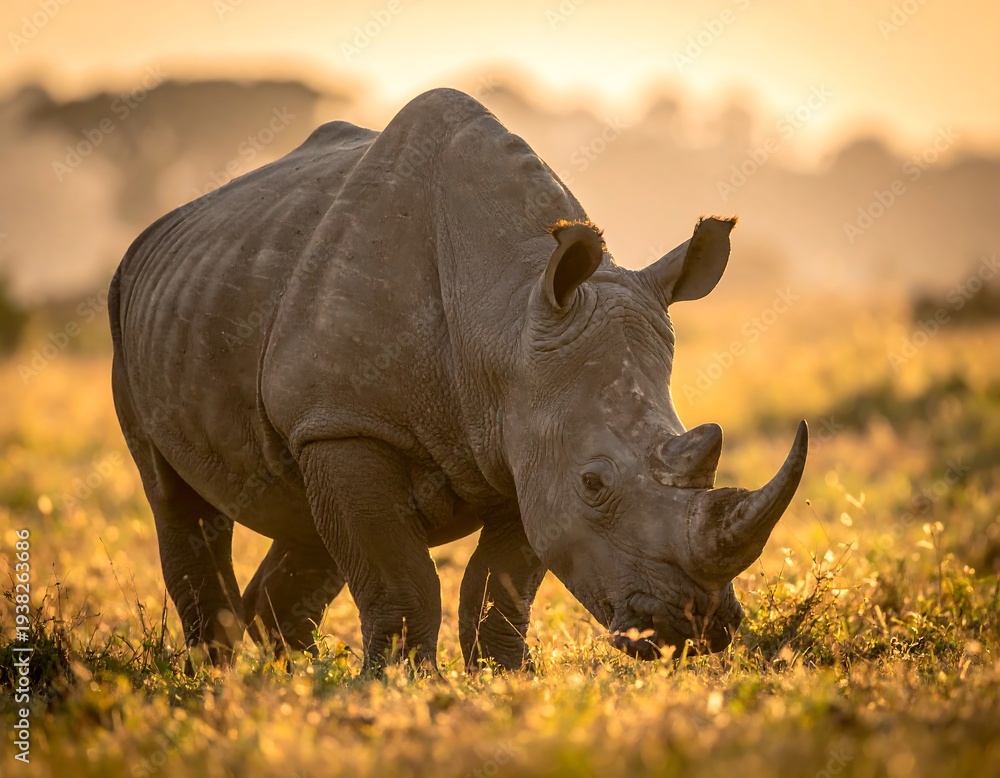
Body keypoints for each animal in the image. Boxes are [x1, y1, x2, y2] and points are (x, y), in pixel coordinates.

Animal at [109, 88, 807, 673]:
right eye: (593, 484)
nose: (699, 628)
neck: (505, 314)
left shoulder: (521, 436)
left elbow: (501, 585)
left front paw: (505, 680)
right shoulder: (352, 424)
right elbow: (403, 581)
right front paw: (398, 688)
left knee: (303, 517)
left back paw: (295, 679)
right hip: (133, 318)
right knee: (176, 500)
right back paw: (219, 681)